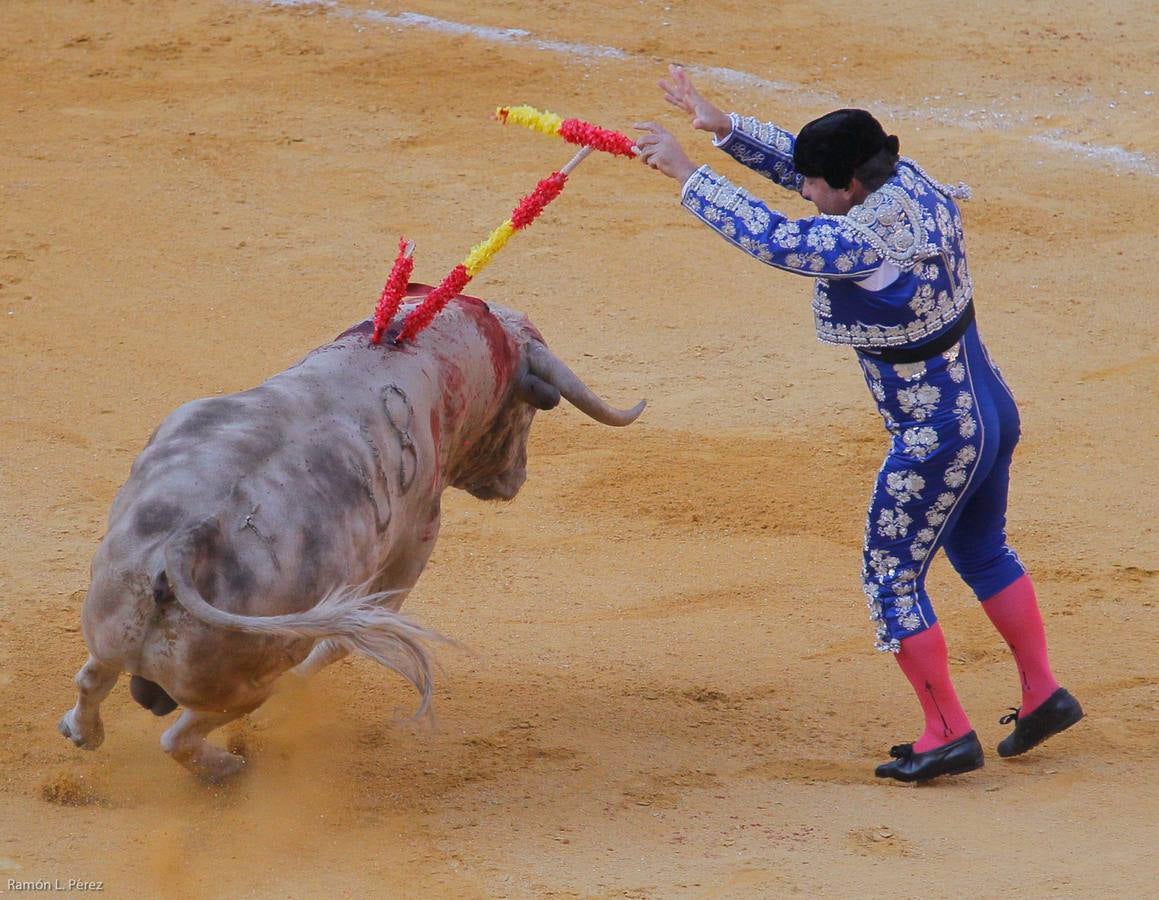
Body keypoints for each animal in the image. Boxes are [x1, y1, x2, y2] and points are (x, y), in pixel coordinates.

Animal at [56, 289, 644, 778]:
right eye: (525, 413)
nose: (516, 479)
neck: (422, 354)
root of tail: (187, 544)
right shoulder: (415, 540)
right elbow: (344, 639)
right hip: (247, 680)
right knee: (180, 735)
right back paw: (226, 768)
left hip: (112, 617)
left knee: (93, 678)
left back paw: (82, 732)